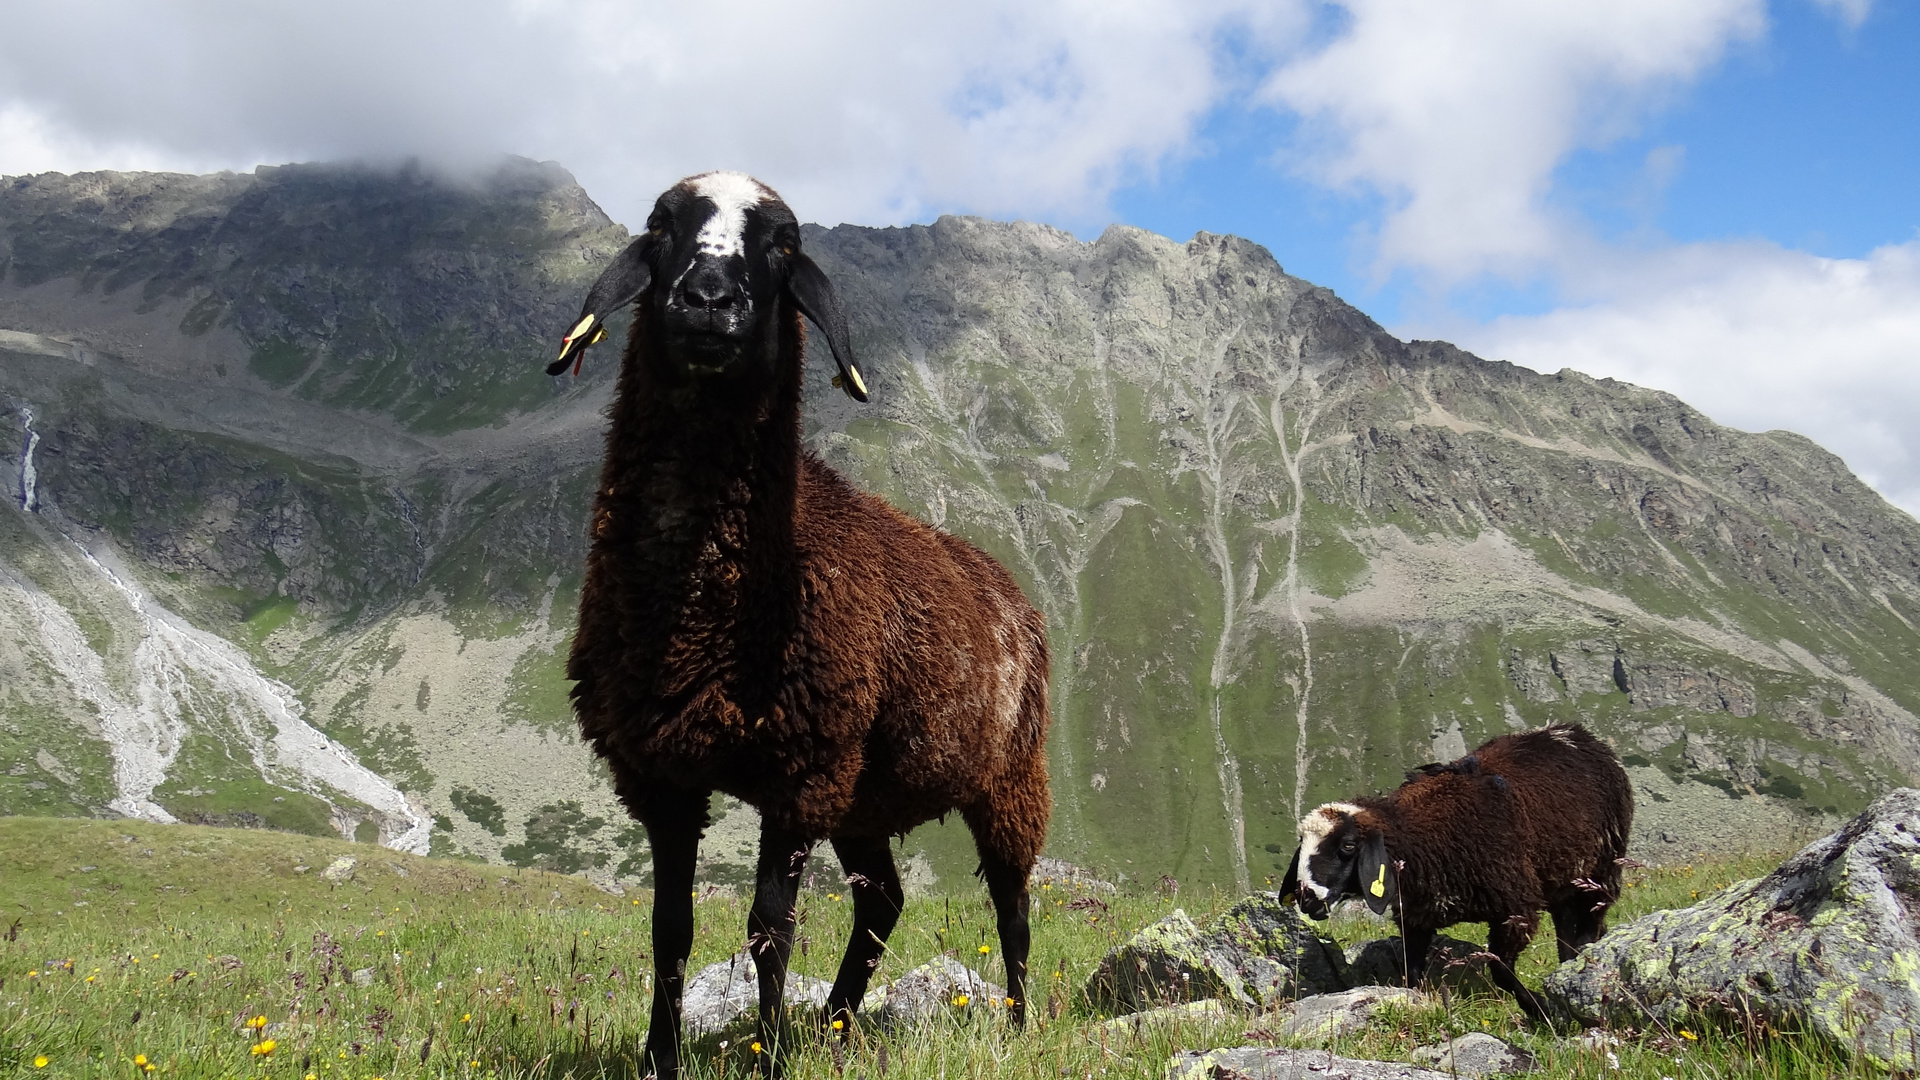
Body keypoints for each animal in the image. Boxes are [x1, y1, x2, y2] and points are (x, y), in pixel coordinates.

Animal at [541, 171, 1052, 1068]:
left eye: (783, 244)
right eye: (661, 226)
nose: (709, 300)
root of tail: (1012, 592)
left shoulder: (798, 772)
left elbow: (768, 930)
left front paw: (769, 1056)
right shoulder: (662, 774)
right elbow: (670, 930)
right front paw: (662, 1057)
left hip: (1005, 777)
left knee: (1012, 906)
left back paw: (1016, 1024)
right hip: (863, 795)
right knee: (882, 902)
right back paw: (837, 1023)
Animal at [1282, 718, 1628, 1014]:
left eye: (1348, 846)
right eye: (1301, 842)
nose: (1306, 897)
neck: (1418, 836)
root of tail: (1572, 730)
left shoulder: (1516, 909)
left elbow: (1501, 971)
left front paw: (1542, 1011)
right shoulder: (1416, 918)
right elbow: (1412, 973)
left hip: (1602, 870)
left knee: (1590, 925)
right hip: (1563, 883)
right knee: (1568, 932)